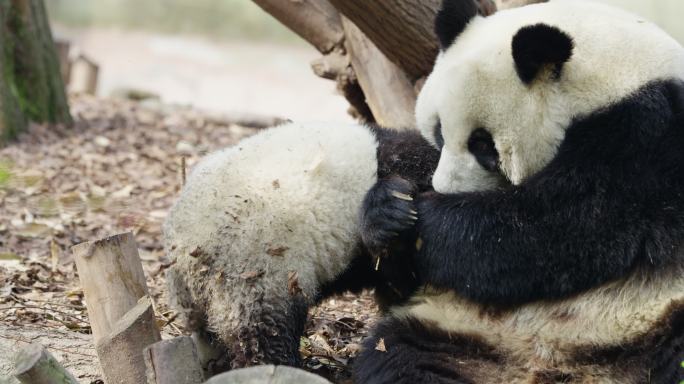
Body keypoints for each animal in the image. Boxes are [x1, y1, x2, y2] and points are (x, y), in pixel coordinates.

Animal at [356, 0, 684, 384]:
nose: (445, 190)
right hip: (458, 333)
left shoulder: (645, 140)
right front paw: (389, 212)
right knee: (399, 354)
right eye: (438, 130)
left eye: (483, 144)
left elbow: (553, 232)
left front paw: (428, 221)